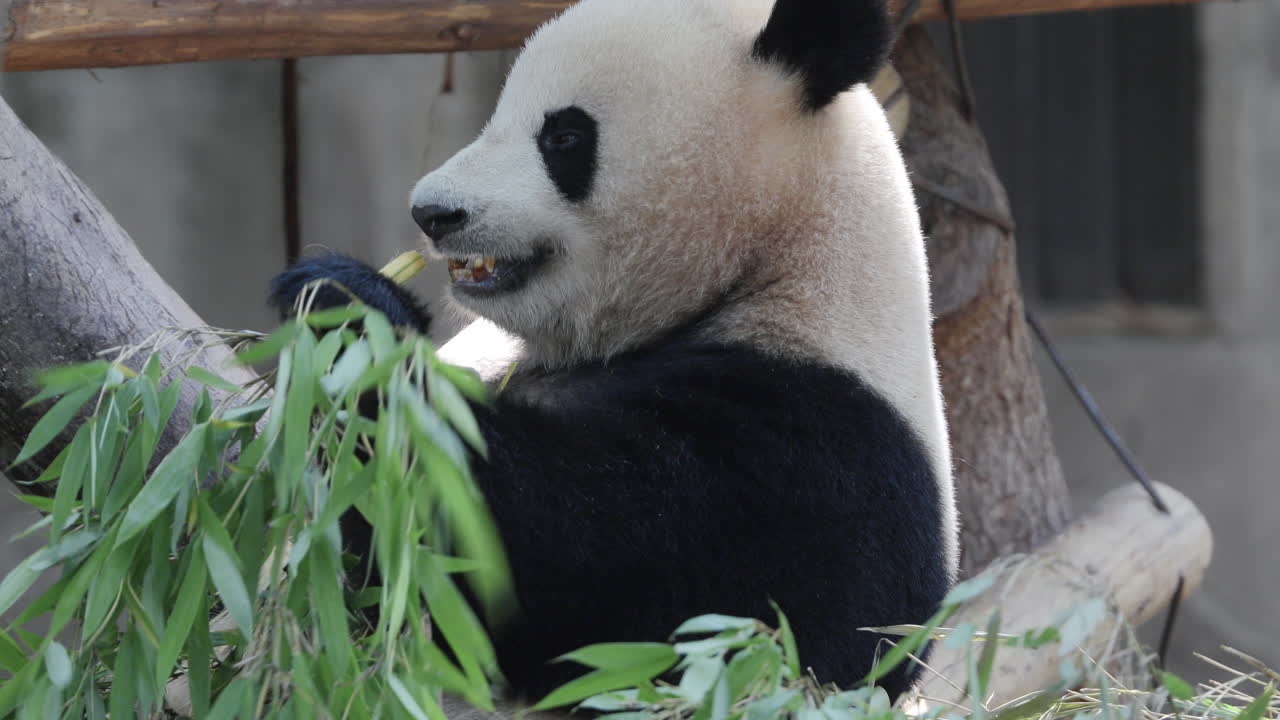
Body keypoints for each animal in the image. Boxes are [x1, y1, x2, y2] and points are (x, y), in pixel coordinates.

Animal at [269, 0, 957, 705]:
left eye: (565, 136)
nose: (433, 213)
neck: (774, 258)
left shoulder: (819, 449)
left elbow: (547, 557)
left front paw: (347, 309)